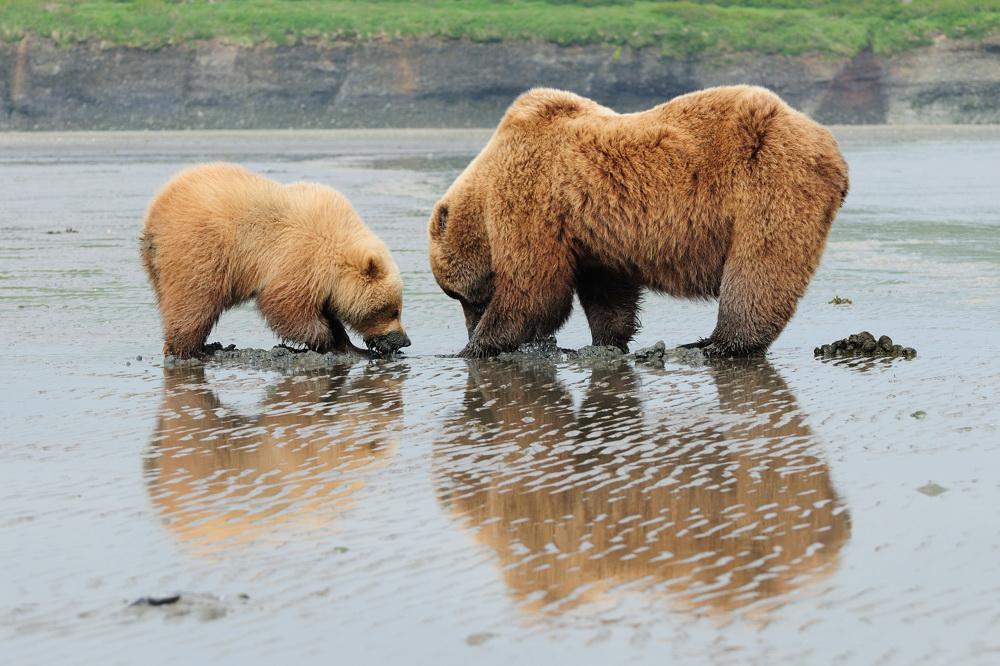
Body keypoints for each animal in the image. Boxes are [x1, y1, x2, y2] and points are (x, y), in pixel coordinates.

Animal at [141, 163, 410, 356]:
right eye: (393, 310)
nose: (404, 340)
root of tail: (155, 213)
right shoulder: (303, 254)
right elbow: (284, 303)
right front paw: (326, 339)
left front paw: (348, 343)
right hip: (201, 246)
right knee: (195, 297)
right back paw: (192, 348)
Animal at [426, 88, 848, 358]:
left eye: (460, 296)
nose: (469, 325)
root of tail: (829, 144)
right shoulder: (590, 233)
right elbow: (607, 293)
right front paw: (603, 341)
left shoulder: (531, 197)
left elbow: (534, 287)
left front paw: (474, 347)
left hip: (769, 180)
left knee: (759, 268)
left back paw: (714, 343)